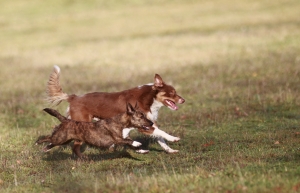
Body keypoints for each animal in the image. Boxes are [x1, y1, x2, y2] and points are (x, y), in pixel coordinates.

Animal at [46, 65, 185, 156]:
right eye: (172, 93)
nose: (183, 100)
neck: (149, 98)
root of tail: (74, 97)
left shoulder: (147, 122)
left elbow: (160, 138)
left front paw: (170, 150)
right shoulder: (143, 125)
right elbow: (161, 132)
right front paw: (174, 139)